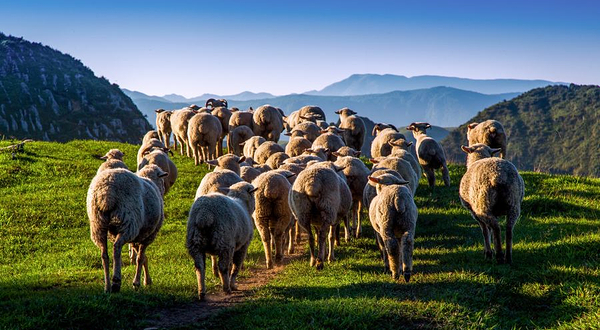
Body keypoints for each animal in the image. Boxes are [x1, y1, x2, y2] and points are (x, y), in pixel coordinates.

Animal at [86, 164, 168, 292]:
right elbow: (140, 258)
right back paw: (116, 282)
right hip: (127, 222)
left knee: (104, 254)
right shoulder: (148, 236)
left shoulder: (137, 237)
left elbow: (143, 258)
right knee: (116, 247)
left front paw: (147, 280)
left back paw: (107, 286)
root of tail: (106, 192)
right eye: (163, 180)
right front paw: (137, 283)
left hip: (98, 224)